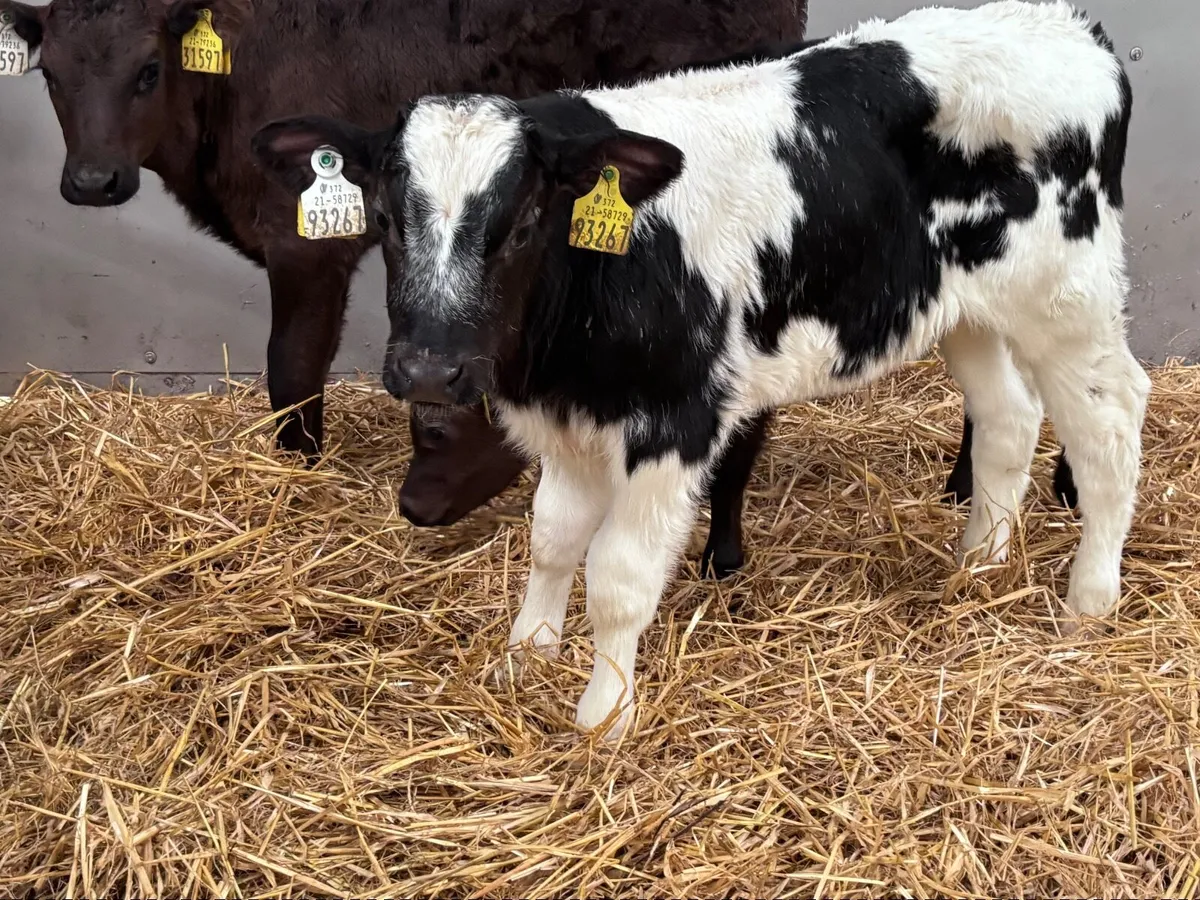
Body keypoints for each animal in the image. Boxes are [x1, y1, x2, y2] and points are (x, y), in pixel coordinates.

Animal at [0, 0, 818, 532]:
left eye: (147, 71)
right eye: (51, 76)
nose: (93, 182)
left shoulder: (306, 243)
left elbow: (291, 369)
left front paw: (297, 474)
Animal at [254, 0, 1149, 738]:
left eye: (525, 221)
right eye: (385, 219)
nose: (431, 371)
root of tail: (1068, 27)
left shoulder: (674, 421)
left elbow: (616, 576)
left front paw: (604, 717)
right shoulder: (573, 419)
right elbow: (551, 540)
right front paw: (526, 655)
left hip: (1068, 300)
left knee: (1109, 426)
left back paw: (1088, 603)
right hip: (964, 309)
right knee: (1008, 419)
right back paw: (979, 566)